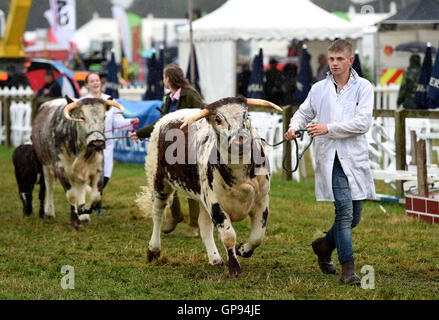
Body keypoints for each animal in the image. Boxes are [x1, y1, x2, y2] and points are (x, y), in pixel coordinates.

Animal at [31, 96, 124, 229]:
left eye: (104, 117)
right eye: (82, 117)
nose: (98, 143)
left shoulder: (98, 169)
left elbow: (96, 195)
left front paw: (84, 210)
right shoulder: (61, 169)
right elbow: (71, 195)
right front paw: (74, 221)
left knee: (80, 187)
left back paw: (84, 217)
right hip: (45, 163)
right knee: (50, 185)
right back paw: (49, 212)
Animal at [136, 96, 284, 276]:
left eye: (246, 116)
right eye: (218, 119)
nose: (240, 141)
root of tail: (165, 119)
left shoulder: (262, 201)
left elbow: (257, 236)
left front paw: (243, 250)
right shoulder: (215, 203)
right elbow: (228, 235)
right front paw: (234, 267)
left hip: (201, 197)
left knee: (204, 225)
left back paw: (215, 259)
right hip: (159, 182)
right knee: (158, 213)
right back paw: (154, 249)